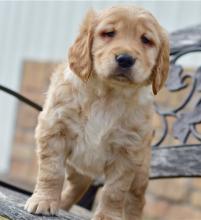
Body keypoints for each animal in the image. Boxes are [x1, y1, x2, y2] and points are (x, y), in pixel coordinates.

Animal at [25, 5, 170, 220]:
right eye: (108, 33)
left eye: (146, 40)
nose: (125, 59)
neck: (107, 95)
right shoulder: (54, 129)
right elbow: (51, 172)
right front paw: (44, 201)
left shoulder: (128, 150)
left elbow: (114, 190)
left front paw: (108, 215)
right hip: (76, 166)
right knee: (80, 182)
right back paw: (63, 203)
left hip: (141, 171)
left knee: (136, 199)